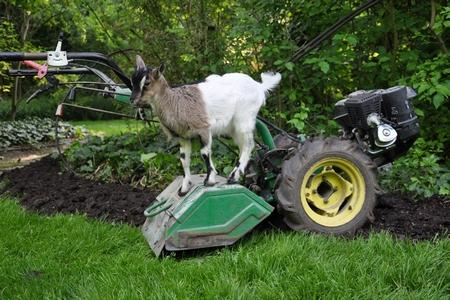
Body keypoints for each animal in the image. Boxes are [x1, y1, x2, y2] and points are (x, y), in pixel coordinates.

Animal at [130, 55, 282, 196]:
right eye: (132, 80)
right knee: (243, 145)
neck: (175, 102)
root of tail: (259, 86)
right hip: (233, 127)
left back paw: (233, 177)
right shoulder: (183, 137)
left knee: (249, 144)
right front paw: (184, 188)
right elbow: (183, 159)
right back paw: (239, 174)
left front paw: (209, 180)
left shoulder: (203, 129)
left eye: (147, 82)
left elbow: (204, 153)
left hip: (244, 119)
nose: (133, 100)